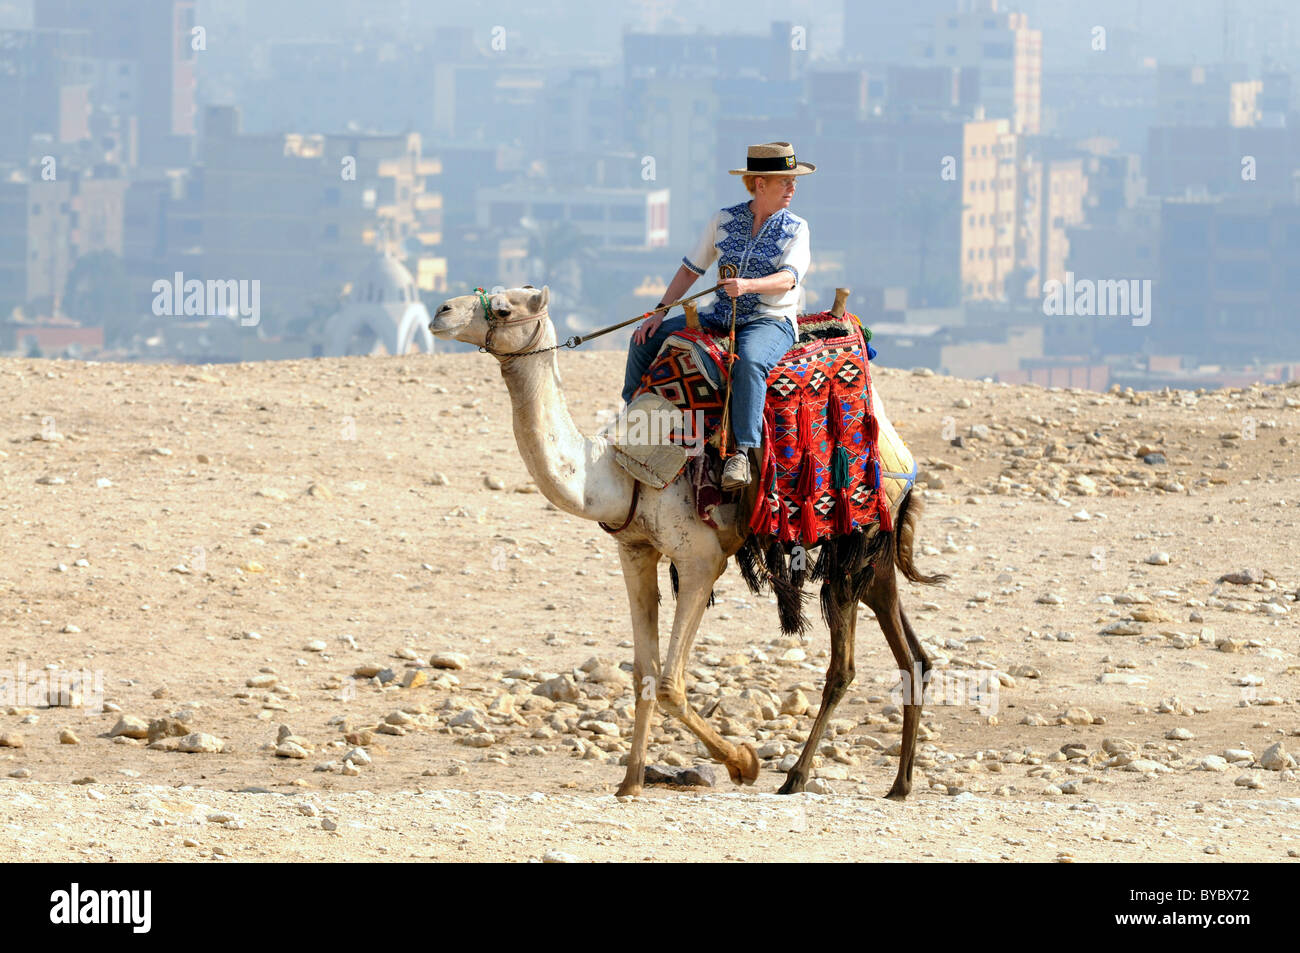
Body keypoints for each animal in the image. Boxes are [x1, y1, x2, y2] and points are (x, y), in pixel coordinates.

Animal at [431, 286, 951, 800]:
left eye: (503, 309)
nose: (441, 311)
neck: (616, 472)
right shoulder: (635, 551)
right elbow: (643, 673)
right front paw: (630, 782)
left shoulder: (701, 561)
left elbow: (670, 684)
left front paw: (744, 763)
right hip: (874, 545)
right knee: (911, 651)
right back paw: (900, 783)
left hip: (855, 533)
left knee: (842, 665)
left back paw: (797, 777)